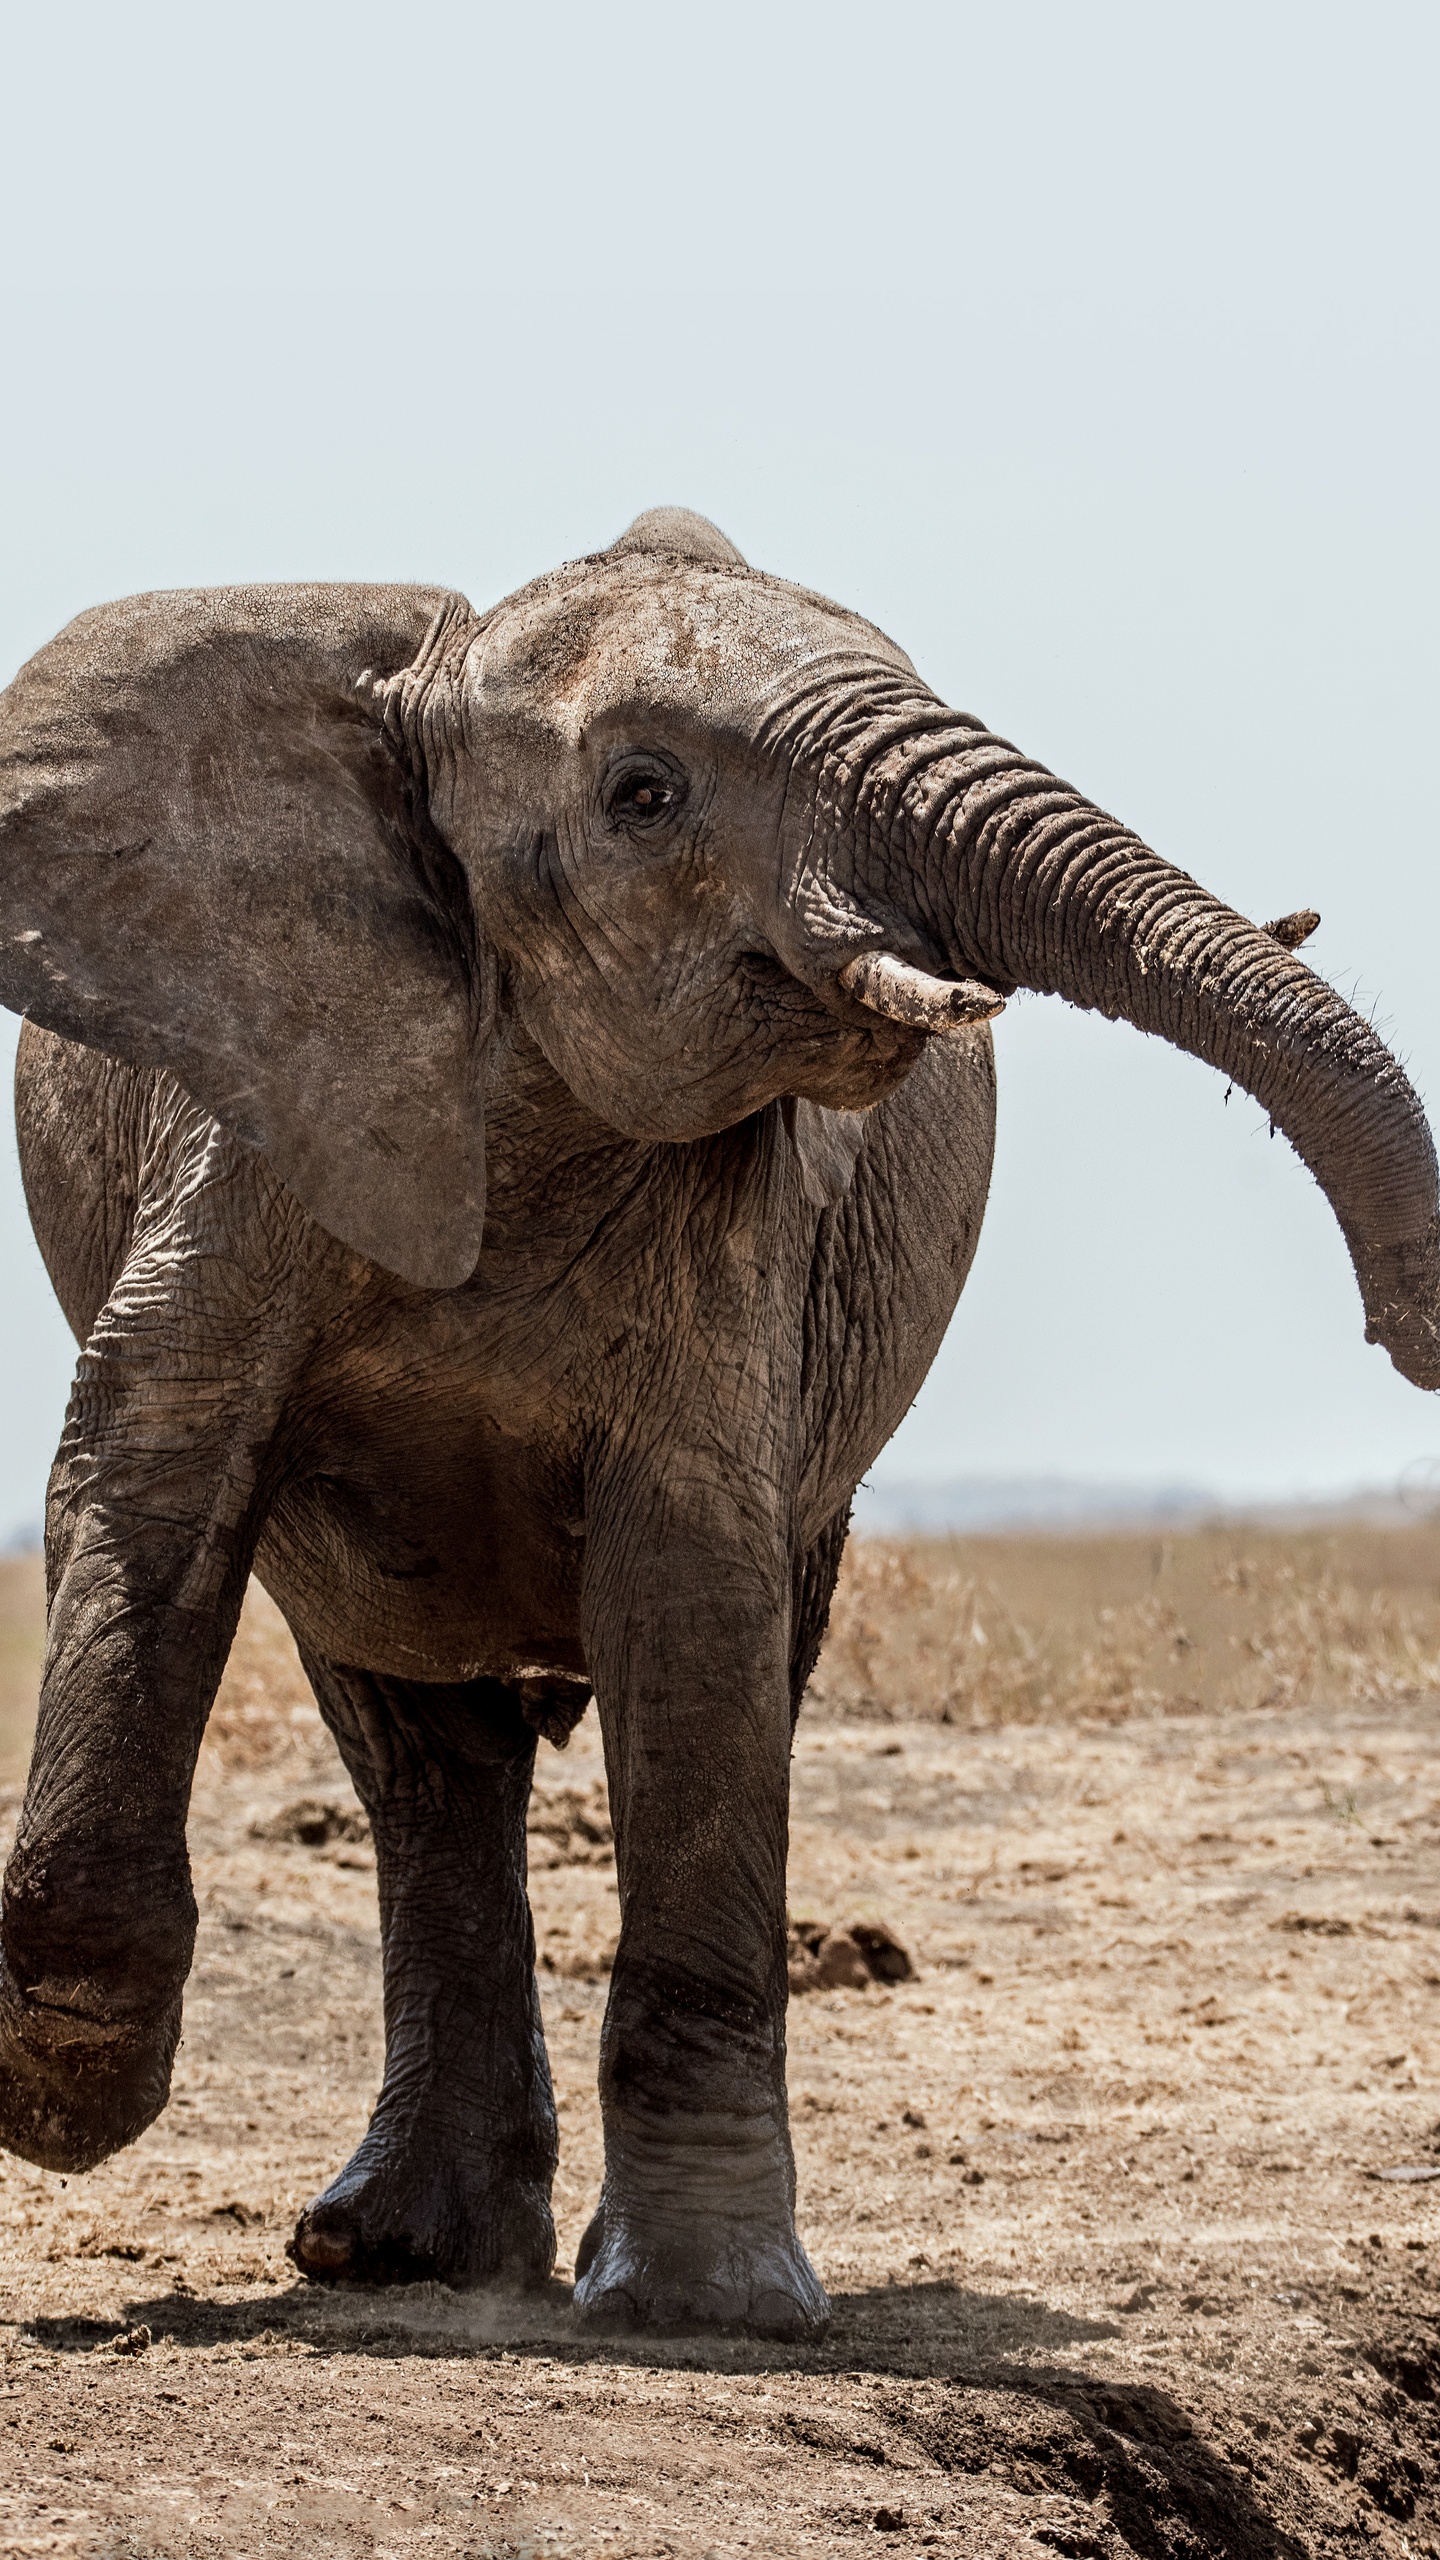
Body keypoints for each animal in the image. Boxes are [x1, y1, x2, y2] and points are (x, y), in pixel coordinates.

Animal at [2, 504, 1434, 2344]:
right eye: (645, 794)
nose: (1416, 1333)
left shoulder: (742, 1226)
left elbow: (690, 1594)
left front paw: (710, 2314)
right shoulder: (256, 1107)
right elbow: (152, 1464)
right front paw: (64, 2105)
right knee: (416, 1754)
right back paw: (389, 2255)